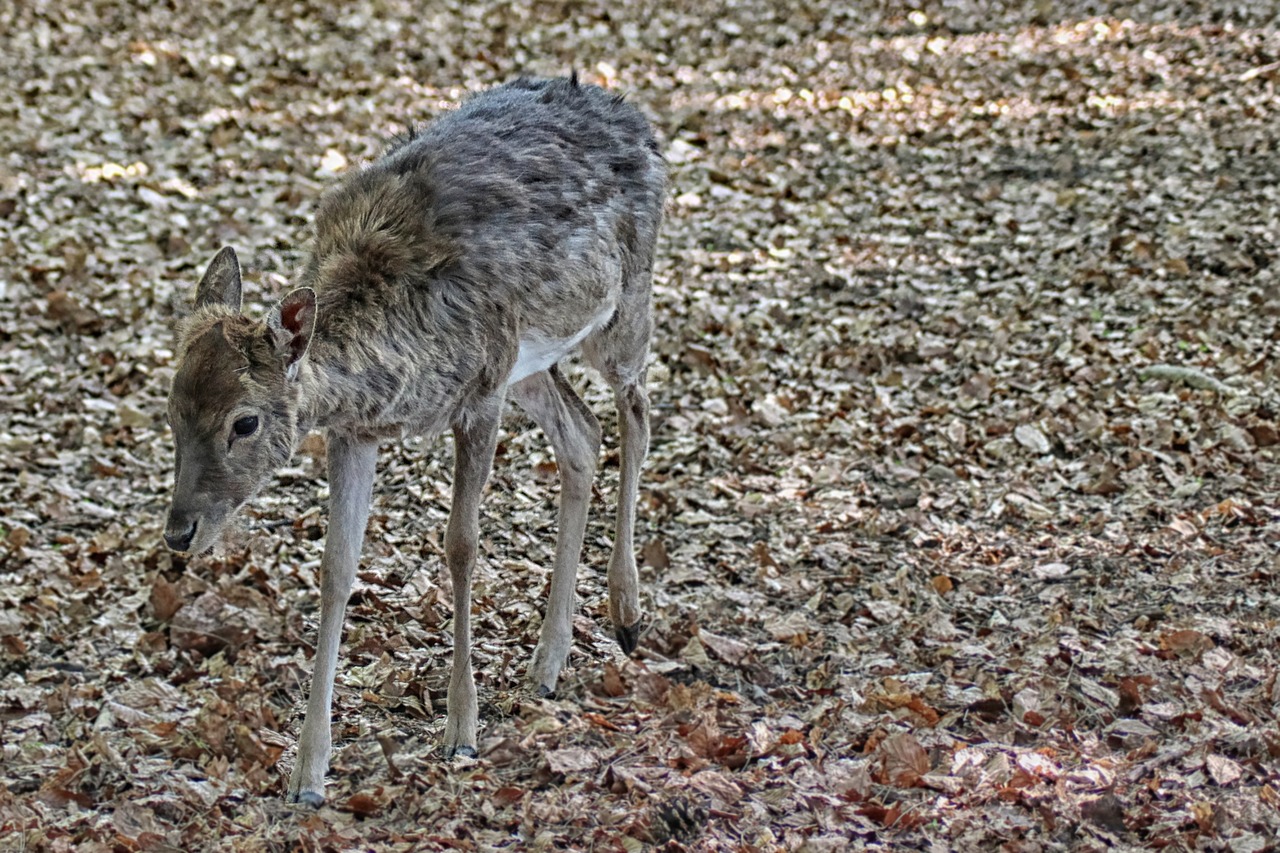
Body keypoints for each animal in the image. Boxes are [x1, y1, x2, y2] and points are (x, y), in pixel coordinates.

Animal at [161, 74, 665, 804]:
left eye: (244, 421)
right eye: (171, 409)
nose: (179, 532)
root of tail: (637, 118)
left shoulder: (480, 394)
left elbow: (461, 546)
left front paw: (461, 729)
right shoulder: (356, 430)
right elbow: (337, 567)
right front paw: (308, 772)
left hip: (623, 307)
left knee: (636, 412)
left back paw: (626, 610)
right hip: (532, 363)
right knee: (583, 433)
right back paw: (548, 660)